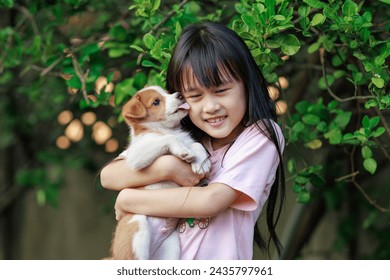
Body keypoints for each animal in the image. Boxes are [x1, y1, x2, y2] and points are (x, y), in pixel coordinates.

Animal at [106, 86, 210, 260]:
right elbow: (168, 139)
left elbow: (196, 144)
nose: (179, 95)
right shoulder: (136, 156)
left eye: (167, 92)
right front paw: (182, 151)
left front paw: (202, 162)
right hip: (137, 226)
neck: (165, 129)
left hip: (171, 248)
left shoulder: (189, 141)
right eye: (156, 102)